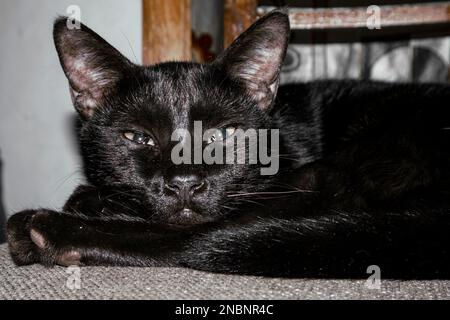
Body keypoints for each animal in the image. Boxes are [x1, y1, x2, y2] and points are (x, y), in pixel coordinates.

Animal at [6, 11, 450, 278]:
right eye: (138, 137)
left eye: (223, 134)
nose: (184, 182)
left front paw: (85, 207)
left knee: (201, 236)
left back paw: (46, 231)